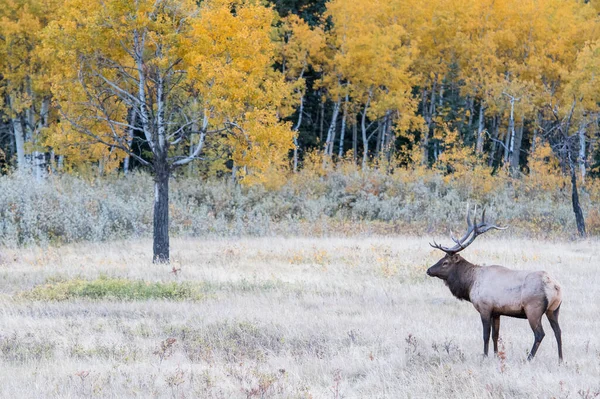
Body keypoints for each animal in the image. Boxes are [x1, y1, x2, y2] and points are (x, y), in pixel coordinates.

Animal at [426, 209, 564, 362]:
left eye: (445, 262)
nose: (429, 270)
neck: (470, 283)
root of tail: (555, 288)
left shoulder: (485, 307)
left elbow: (486, 335)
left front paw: (485, 356)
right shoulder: (497, 312)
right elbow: (495, 335)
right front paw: (496, 355)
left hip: (533, 309)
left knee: (540, 333)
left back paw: (528, 358)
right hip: (554, 309)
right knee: (558, 331)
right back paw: (560, 359)